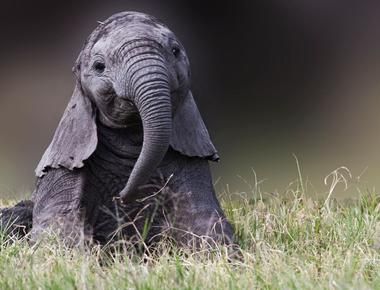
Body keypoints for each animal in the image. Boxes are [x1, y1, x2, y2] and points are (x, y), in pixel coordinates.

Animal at [0, 11, 235, 249]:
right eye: (99, 66)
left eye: (176, 51)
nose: (122, 196)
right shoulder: (61, 168)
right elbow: (58, 228)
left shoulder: (194, 162)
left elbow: (208, 226)